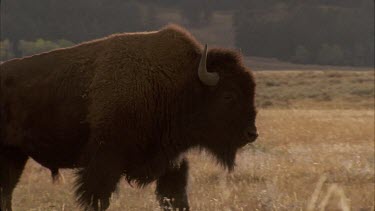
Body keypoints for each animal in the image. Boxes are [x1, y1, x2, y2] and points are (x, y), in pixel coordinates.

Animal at [0, 24, 258, 209]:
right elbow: (97, 199)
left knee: (6, 192)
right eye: (228, 95)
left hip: (15, 154)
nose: (252, 134)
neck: (174, 85)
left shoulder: (171, 164)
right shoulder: (103, 164)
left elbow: (176, 199)